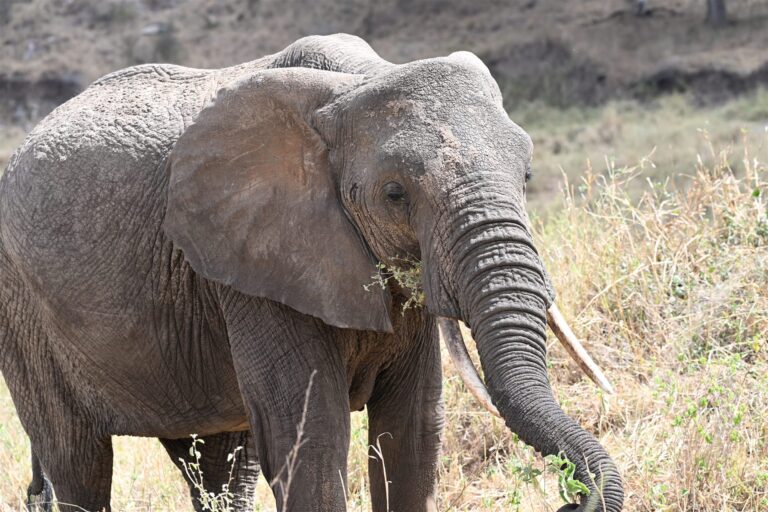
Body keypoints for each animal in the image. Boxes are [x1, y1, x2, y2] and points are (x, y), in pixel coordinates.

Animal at [0, 34, 624, 511]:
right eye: (395, 194)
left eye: (527, 174)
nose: (574, 499)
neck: (357, 82)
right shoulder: (254, 262)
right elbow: (314, 436)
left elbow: (413, 431)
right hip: (23, 310)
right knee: (77, 459)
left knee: (221, 464)